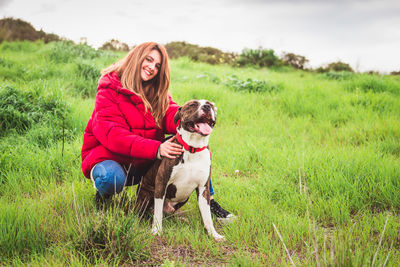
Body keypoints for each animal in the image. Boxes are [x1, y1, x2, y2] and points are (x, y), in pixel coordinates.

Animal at [135, 99, 225, 242]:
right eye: (193, 104)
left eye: (210, 104)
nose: (207, 107)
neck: (193, 148)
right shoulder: (161, 183)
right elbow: (158, 211)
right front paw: (157, 230)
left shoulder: (203, 189)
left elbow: (207, 216)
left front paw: (213, 234)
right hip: (146, 196)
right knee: (145, 212)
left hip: (184, 198)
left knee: (167, 215)